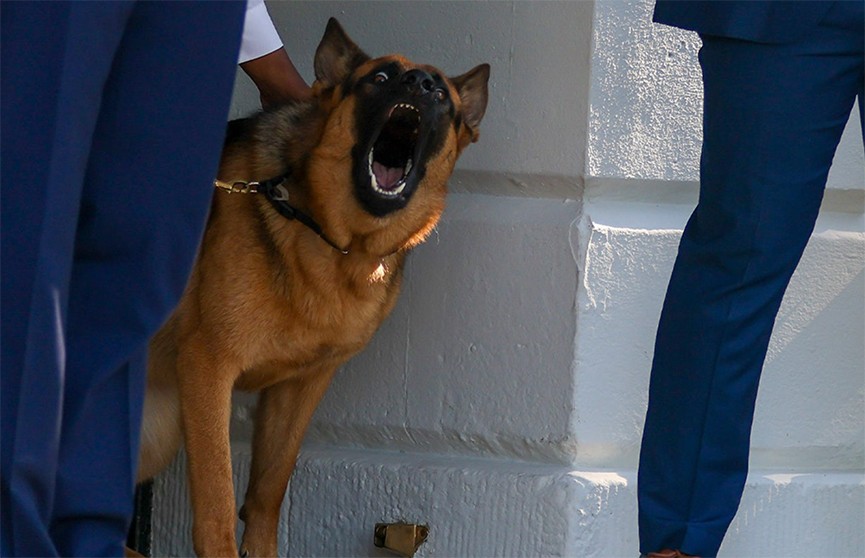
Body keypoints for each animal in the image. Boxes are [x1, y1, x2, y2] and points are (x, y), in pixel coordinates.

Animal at [134, 18, 486, 558]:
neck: (337, 242)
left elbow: (267, 493)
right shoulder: (207, 370)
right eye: (379, 79)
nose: (420, 85)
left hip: (158, 429)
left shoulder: (301, 387)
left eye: (442, 96)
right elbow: (218, 502)